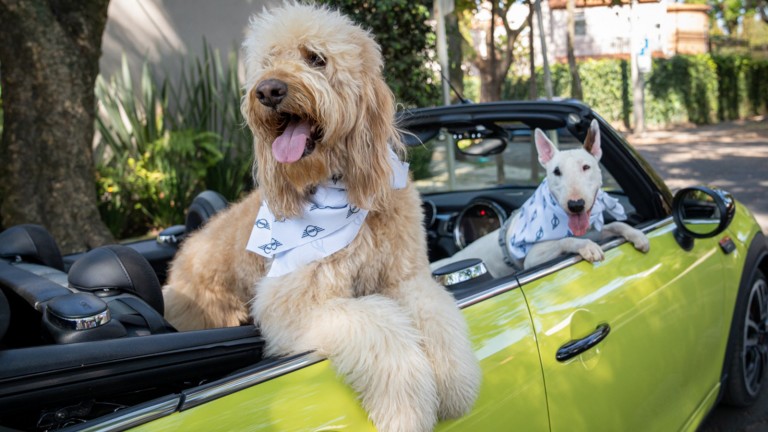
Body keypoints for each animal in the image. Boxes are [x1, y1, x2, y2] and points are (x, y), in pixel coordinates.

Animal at [163, 2, 480, 428]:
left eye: (315, 58)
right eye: (268, 61)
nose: (268, 90)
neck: (339, 187)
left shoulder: (406, 277)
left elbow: (436, 313)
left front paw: (455, 385)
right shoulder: (291, 304)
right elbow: (377, 324)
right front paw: (406, 409)